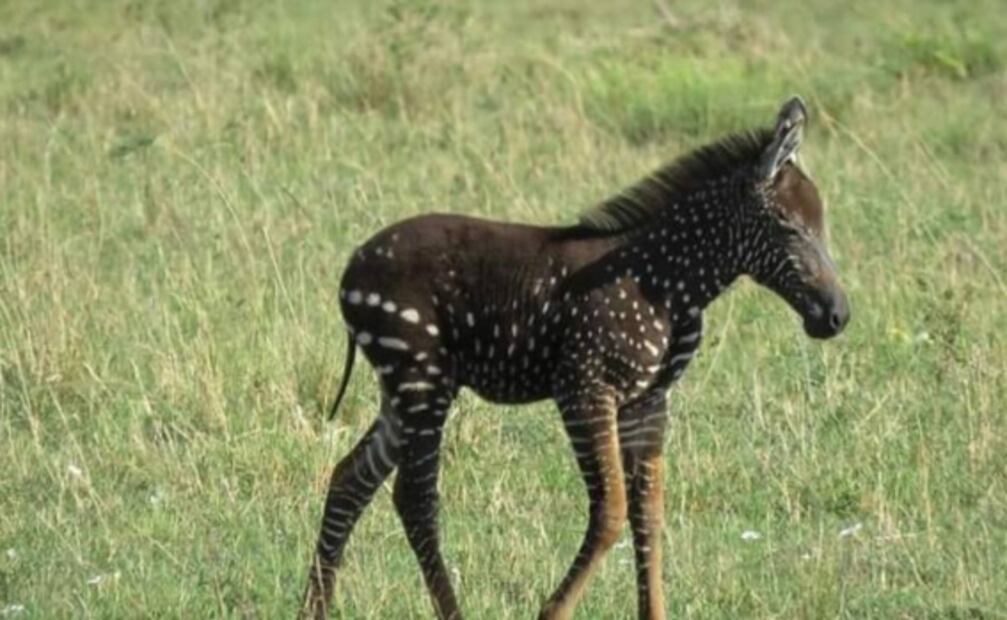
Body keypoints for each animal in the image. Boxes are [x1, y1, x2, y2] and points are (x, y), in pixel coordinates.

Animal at [301, 96, 850, 620]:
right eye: (788, 227)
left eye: (822, 226)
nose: (837, 316)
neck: (669, 284)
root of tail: (351, 269)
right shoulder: (584, 389)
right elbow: (611, 511)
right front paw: (553, 611)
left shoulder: (648, 402)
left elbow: (648, 513)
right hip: (421, 376)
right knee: (414, 499)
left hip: (406, 388)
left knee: (350, 479)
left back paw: (314, 609)